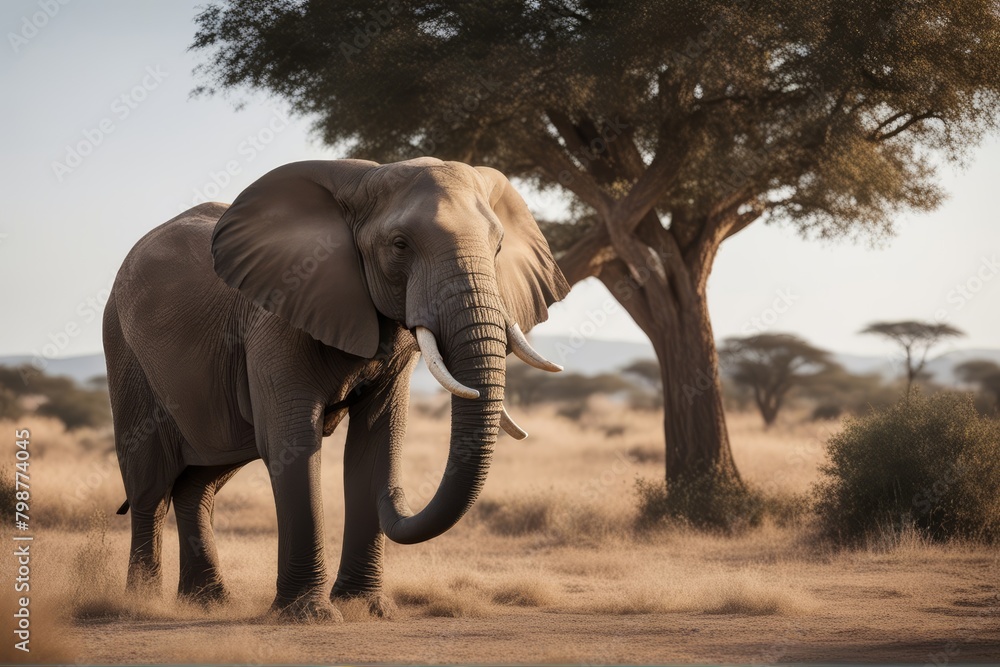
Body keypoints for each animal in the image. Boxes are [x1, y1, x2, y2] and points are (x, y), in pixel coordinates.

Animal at [103, 157, 569, 620]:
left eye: (498, 246)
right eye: (399, 245)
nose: (395, 498)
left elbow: (376, 441)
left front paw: (366, 607)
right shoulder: (277, 315)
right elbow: (291, 442)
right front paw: (309, 615)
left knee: (201, 481)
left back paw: (207, 602)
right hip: (124, 350)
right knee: (149, 486)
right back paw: (140, 601)